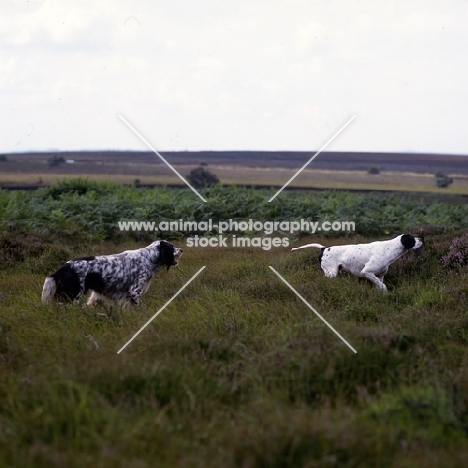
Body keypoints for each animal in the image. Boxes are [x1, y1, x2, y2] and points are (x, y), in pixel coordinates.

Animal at [42, 241, 183, 308]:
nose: (182, 249)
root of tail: (63, 268)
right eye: (172, 247)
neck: (148, 258)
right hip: (73, 295)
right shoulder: (134, 291)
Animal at [290, 234, 422, 292]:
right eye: (412, 239)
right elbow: (383, 286)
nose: (421, 238)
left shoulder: (380, 275)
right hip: (331, 273)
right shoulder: (366, 272)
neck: (389, 249)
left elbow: (380, 285)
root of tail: (324, 248)